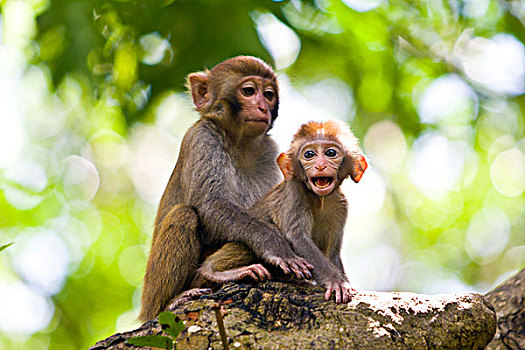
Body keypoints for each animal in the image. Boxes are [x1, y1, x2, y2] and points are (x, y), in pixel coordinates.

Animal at [139, 55, 312, 322]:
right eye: (249, 91)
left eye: (269, 94)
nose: (263, 107)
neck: (239, 143)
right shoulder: (201, 138)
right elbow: (209, 205)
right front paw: (275, 245)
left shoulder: (269, 151)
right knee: (184, 214)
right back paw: (172, 301)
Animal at [190, 120, 366, 304]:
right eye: (309, 154)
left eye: (331, 153)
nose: (320, 165)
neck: (320, 200)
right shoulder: (294, 191)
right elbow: (296, 237)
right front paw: (335, 281)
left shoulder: (341, 205)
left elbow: (333, 253)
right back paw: (213, 271)